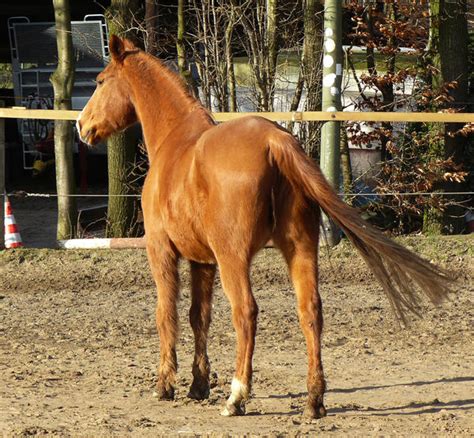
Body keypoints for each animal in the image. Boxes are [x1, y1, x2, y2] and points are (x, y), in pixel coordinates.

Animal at [76, 36, 450, 418]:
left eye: (101, 81)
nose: (81, 125)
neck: (175, 142)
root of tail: (274, 141)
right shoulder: (202, 261)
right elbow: (199, 317)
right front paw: (198, 385)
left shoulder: (161, 250)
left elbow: (166, 314)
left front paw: (165, 385)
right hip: (299, 249)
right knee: (311, 311)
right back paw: (314, 400)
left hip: (234, 258)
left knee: (246, 311)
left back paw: (237, 396)